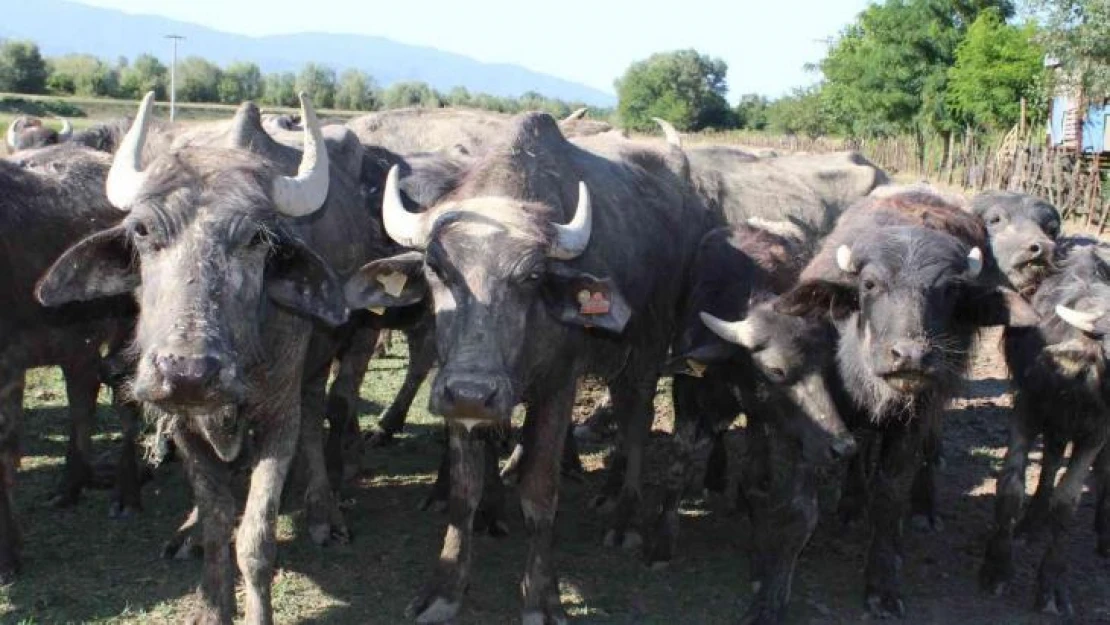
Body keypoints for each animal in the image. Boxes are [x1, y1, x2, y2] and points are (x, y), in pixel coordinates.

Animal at [0, 142, 138, 581]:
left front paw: (8, 556)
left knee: (122, 403)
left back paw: (125, 494)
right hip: (76, 343)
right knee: (83, 397)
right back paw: (70, 485)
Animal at [344, 112, 710, 621]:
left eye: (533, 275)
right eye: (437, 268)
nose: (473, 392)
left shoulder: (560, 383)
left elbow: (541, 492)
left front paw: (541, 597)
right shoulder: (456, 390)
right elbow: (464, 492)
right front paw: (443, 590)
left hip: (649, 343)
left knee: (637, 419)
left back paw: (625, 517)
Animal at [772, 188, 1030, 617]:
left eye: (949, 290)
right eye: (870, 284)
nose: (910, 356)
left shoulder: (914, 419)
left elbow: (890, 496)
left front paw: (882, 585)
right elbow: (800, 505)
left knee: (928, 447)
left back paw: (923, 506)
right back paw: (851, 502)